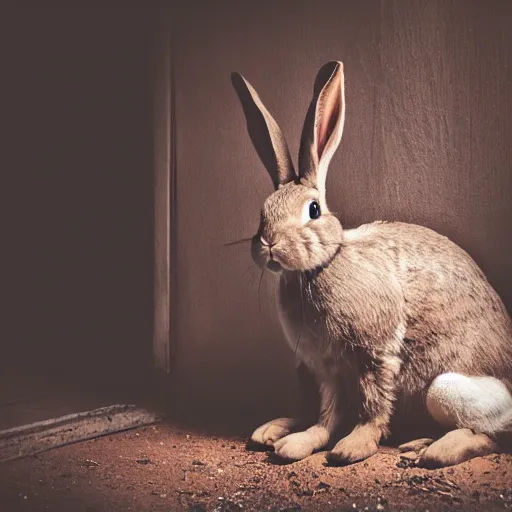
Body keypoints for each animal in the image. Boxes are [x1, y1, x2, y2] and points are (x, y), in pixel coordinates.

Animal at [232, 60, 512, 468]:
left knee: (489, 433)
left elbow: (371, 405)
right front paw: (301, 442)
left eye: (313, 210)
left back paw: (433, 451)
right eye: (262, 212)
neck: (323, 265)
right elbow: (326, 414)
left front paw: (352, 447)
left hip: (446, 390)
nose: (269, 244)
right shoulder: (323, 367)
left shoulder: (374, 355)